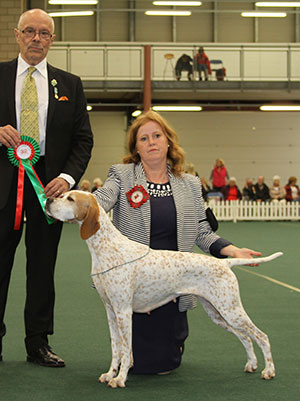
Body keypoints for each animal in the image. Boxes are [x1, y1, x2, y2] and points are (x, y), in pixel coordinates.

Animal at [45, 191, 282, 388]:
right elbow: (115, 349)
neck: (107, 248)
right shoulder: (111, 312)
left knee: (262, 336)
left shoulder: (123, 312)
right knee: (246, 337)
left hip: (231, 310)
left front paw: (120, 378)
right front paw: (110, 374)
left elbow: (126, 351)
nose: (47, 199)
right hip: (218, 313)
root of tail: (224, 263)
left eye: (70, 198)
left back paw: (269, 371)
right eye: (63, 194)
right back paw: (251, 364)